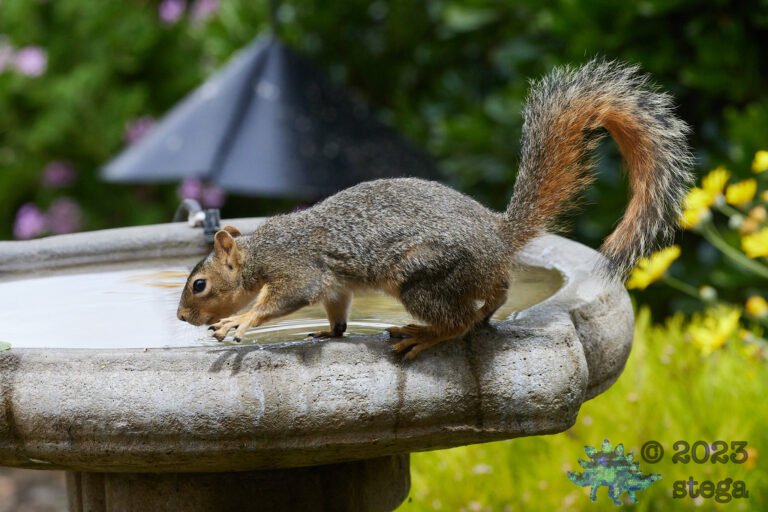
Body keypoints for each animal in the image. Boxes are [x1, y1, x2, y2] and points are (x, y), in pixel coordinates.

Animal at [176, 59, 693, 359]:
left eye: (199, 285)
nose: (181, 318)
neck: (260, 252)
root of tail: (498, 236)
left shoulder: (295, 267)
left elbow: (283, 299)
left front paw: (239, 322)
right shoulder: (335, 286)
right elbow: (338, 314)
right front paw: (330, 332)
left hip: (422, 275)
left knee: (458, 322)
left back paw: (424, 335)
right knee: (494, 296)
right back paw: (485, 312)